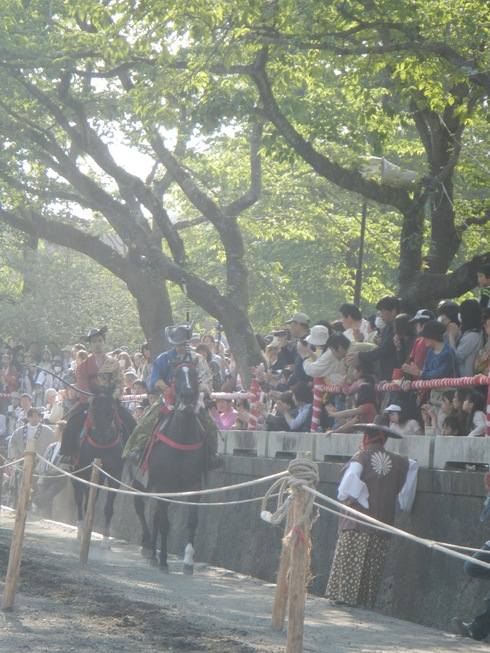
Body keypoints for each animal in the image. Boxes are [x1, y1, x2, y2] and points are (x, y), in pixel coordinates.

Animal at [71, 388, 134, 544]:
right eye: (94, 409)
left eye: (112, 409)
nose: (102, 434)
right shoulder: (86, 473)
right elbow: (86, 501)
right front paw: (85, 530)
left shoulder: (115, 475)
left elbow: (108, 506)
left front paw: (105, 538)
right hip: (74, 471)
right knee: (78, 497)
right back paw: (80, 527)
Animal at [135, 360, 208, 572]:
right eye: (176, 376)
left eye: (195, 375)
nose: (188, 395)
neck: (182, 438)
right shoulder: (163, 485)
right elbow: (165, 524)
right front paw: (164, 560)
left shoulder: (194, 485)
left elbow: (192, 521)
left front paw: (188, 561)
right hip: (138, 481)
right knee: (141, 509)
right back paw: (148, 547)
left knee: (154, 516)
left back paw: (153, 553)